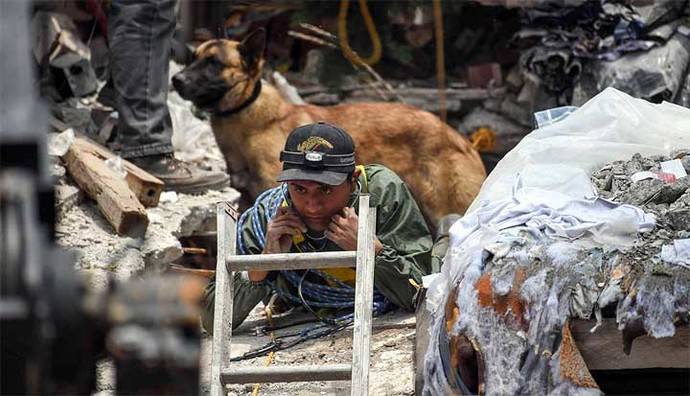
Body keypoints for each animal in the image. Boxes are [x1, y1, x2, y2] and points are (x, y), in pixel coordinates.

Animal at [172, 29, 484, 227]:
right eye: (192, 59)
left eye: (214, 64)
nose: (176, 80)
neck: (247, 121)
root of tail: (459, 138)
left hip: (446, 208)